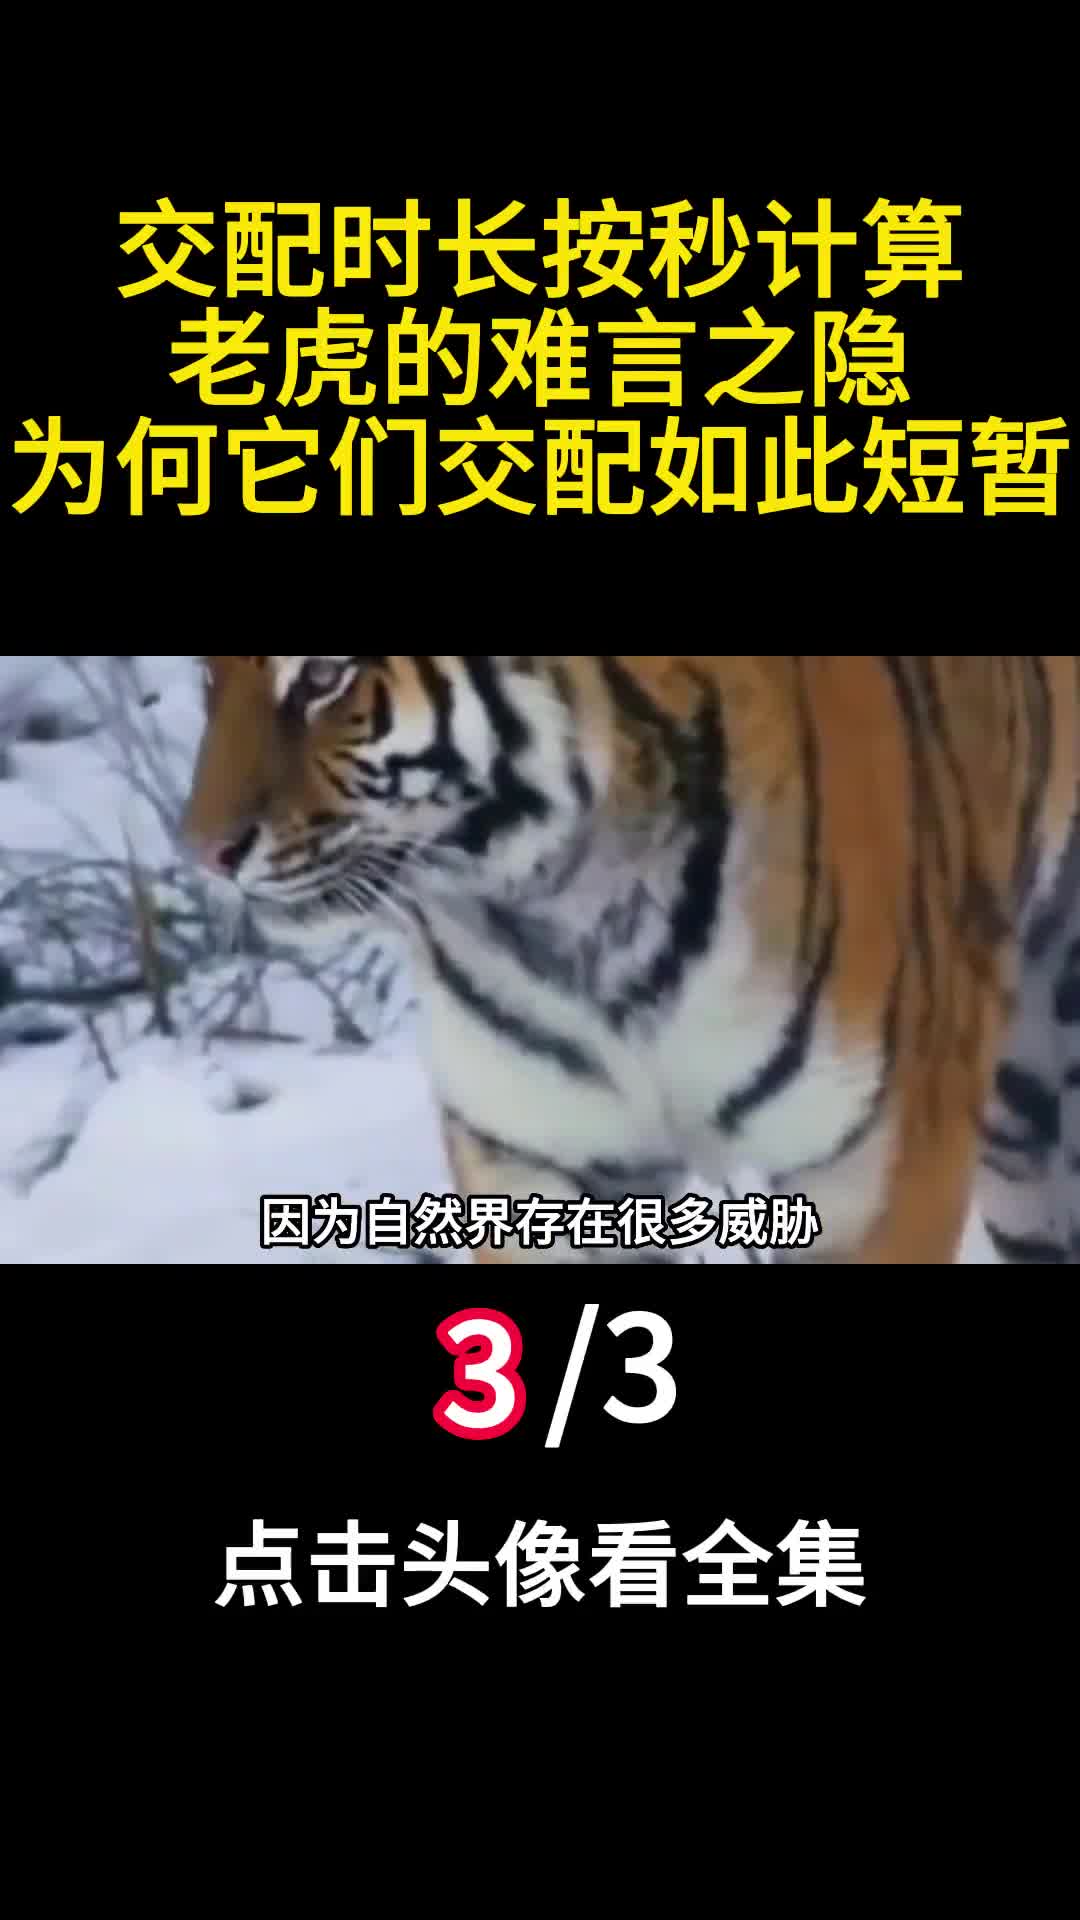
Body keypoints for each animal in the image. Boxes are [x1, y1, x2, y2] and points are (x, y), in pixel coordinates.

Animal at [181, 655, 1079, 1266]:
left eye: (324, 674)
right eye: (210, 676)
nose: (204, 854)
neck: (563, 912)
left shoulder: (876, 1169)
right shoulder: (538, 1159)